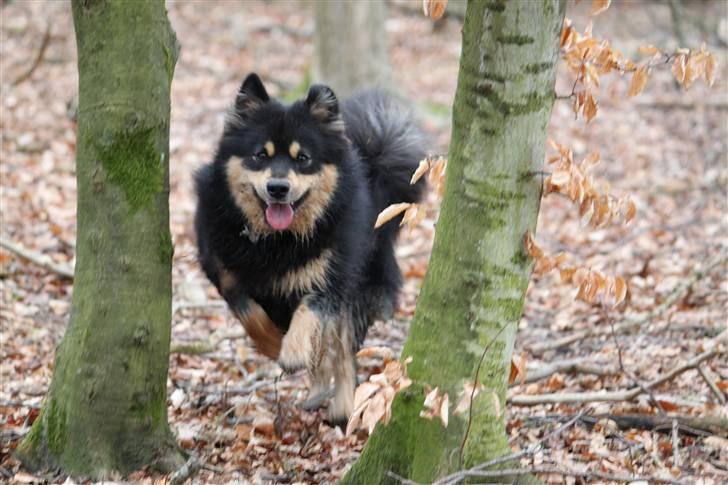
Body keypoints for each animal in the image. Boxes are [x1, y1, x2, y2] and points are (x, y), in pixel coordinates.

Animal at [193, 73, 424, 424]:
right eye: (260, 155)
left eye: (302, 158)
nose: (277, 188)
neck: (276, 241)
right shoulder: (224, 274)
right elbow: (252, 316)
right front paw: (274, 345)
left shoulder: (330, 280)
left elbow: (308, 313)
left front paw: (290, 352)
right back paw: (316, 394)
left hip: (354, 291)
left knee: (342, 353)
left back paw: (343, 407)